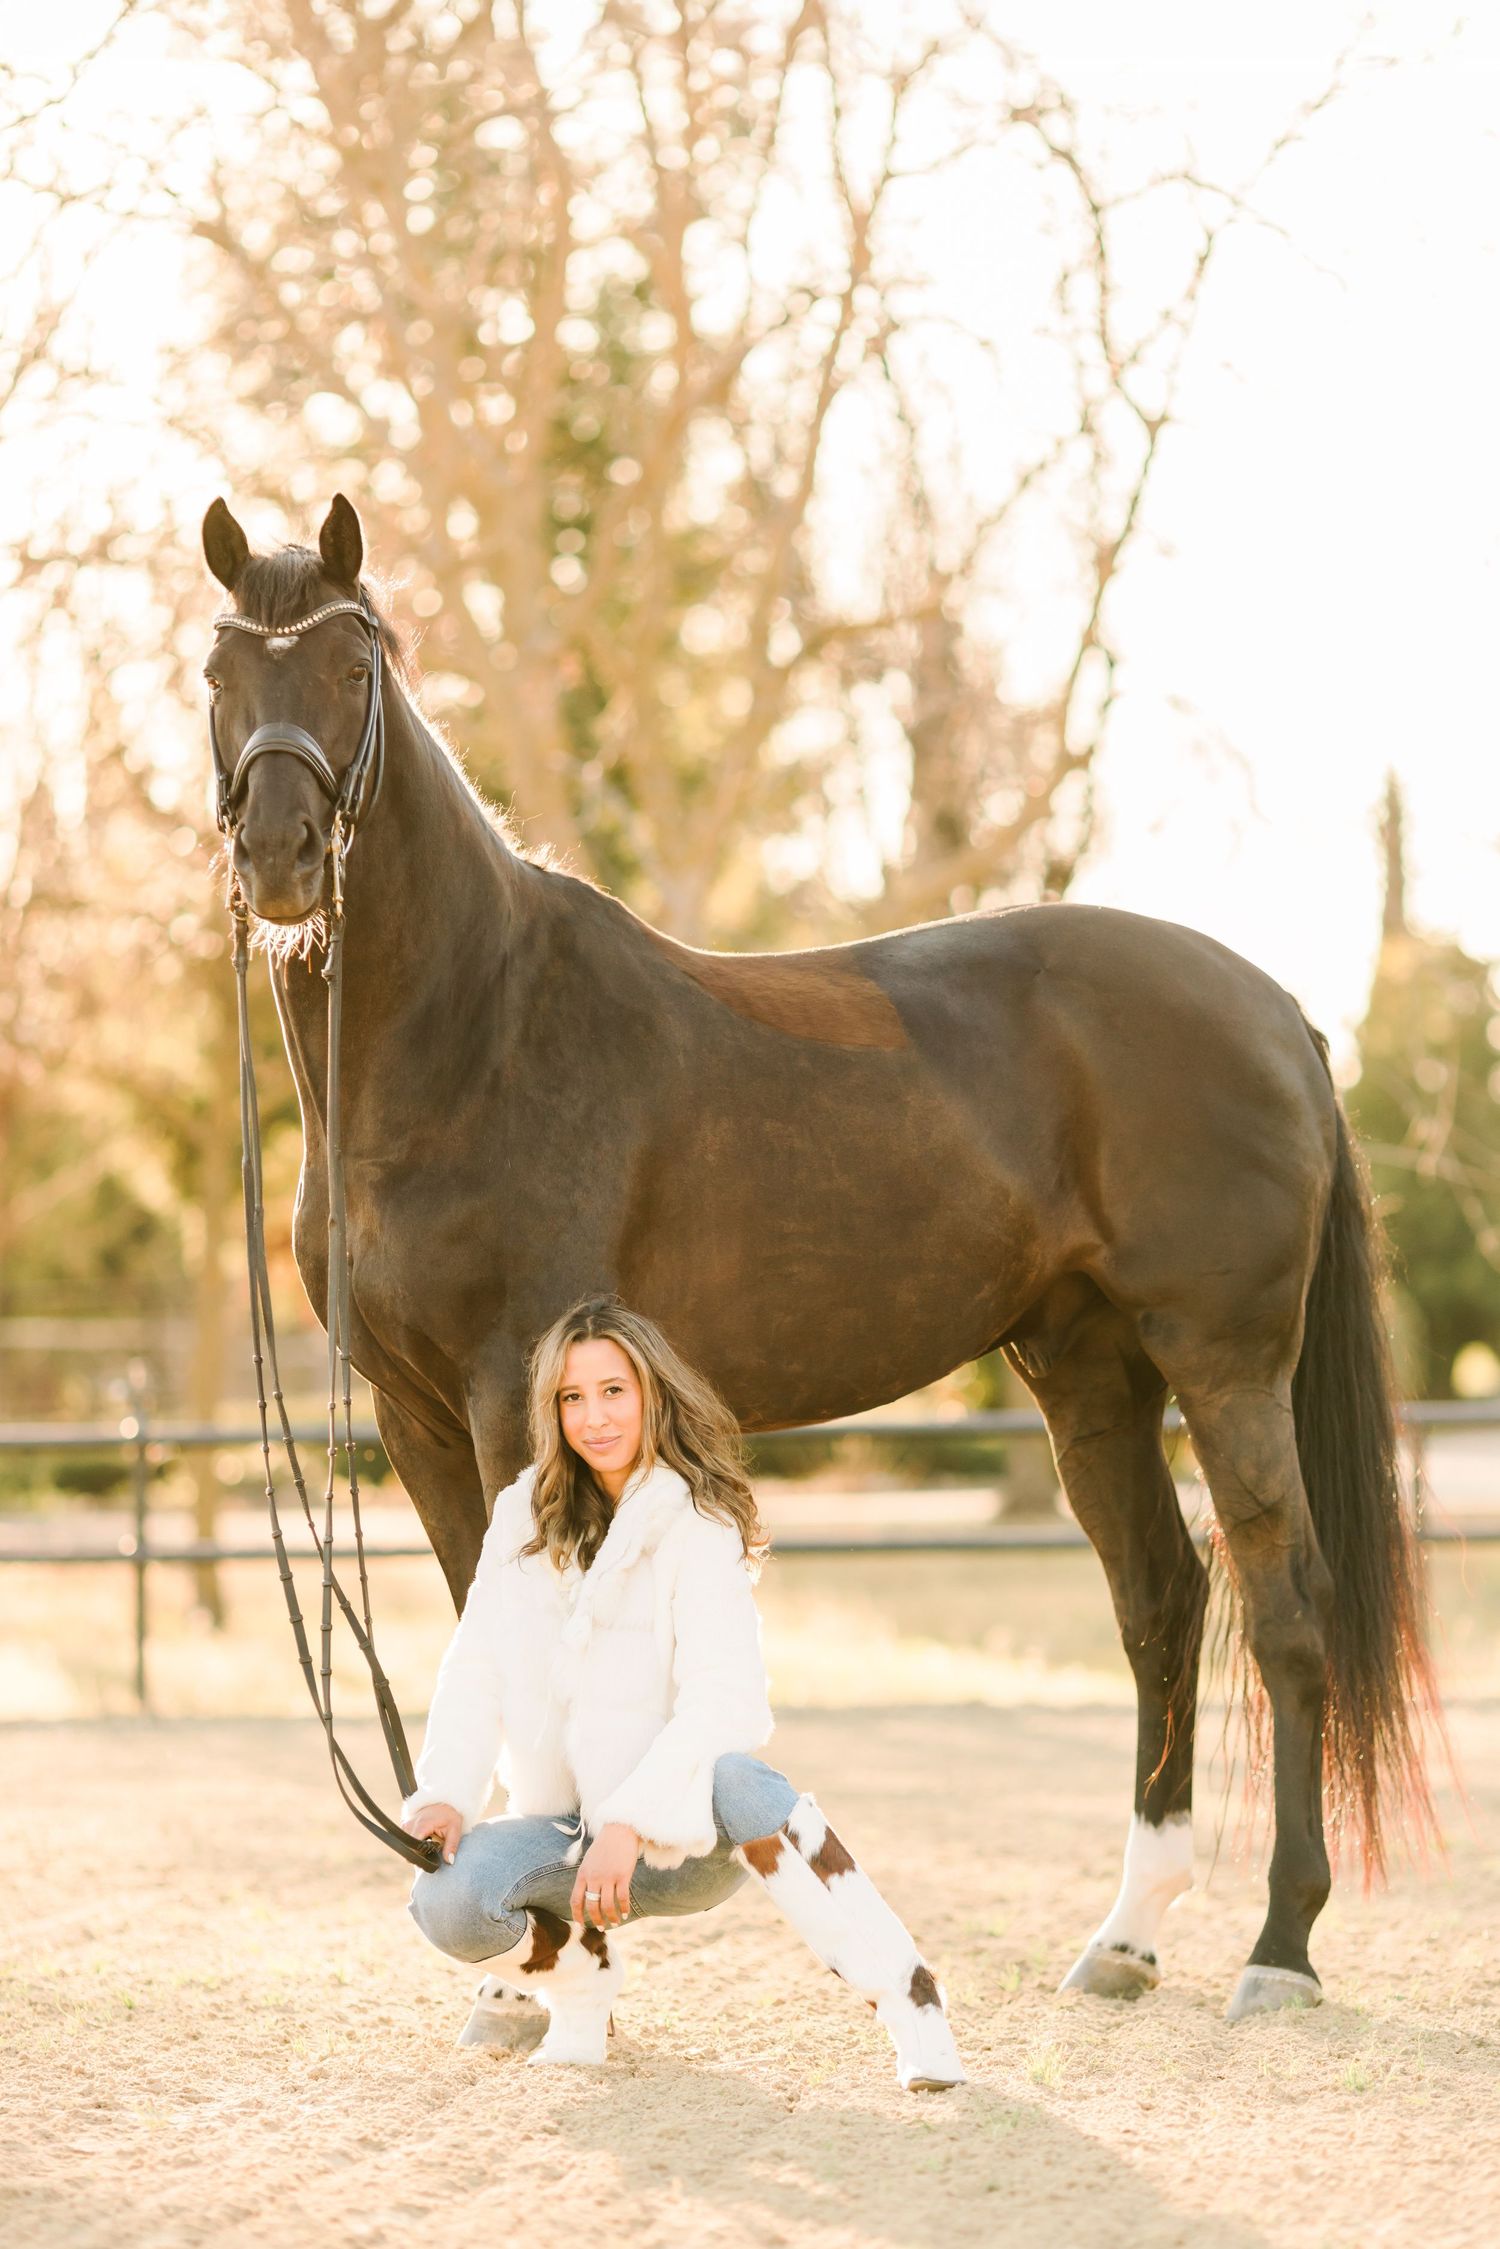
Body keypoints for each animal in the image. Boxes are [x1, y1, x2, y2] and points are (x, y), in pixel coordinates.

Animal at [201, 492, 1437, 2022]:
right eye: (217, 673)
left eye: (353, 666)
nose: (281, 858)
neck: (475, 1031)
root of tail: (1276, 1008)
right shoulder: (415, 1416)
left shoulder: (504, 1395)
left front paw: (542, 1960)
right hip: (1091, 1374)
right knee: (1160, 1603)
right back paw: (1128, 1937)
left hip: (1224, 1363)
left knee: (1283, 1610)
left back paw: (1279, 1947)